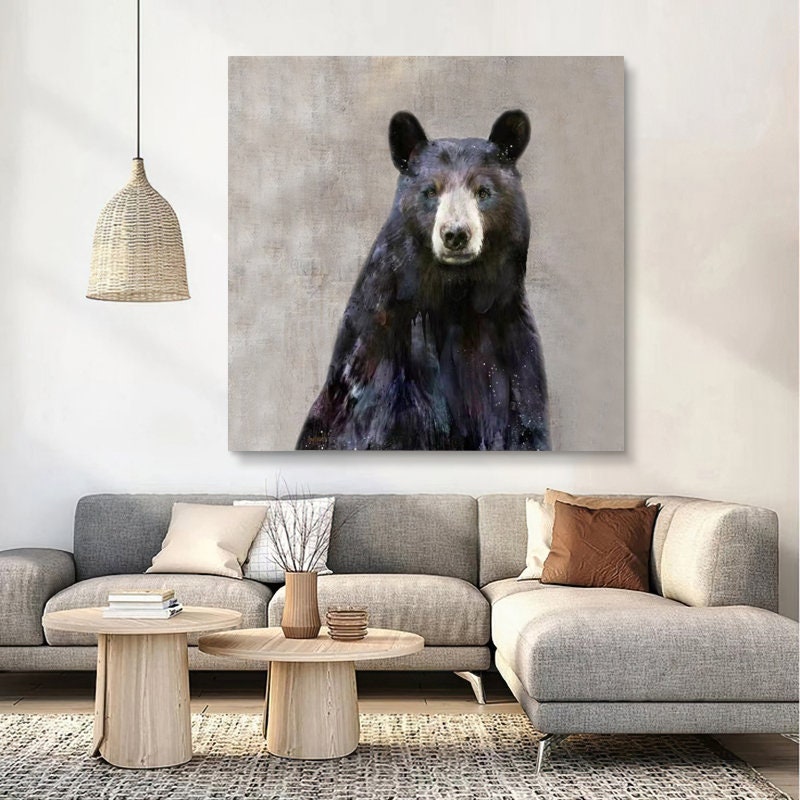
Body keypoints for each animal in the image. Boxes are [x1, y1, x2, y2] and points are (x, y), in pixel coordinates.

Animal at [296, 110, 550, 451]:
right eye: (430, 191)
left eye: (483, 192)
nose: (455, 234)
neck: (455, 294)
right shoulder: (381, 353)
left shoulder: (511, 349)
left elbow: (523, 424)